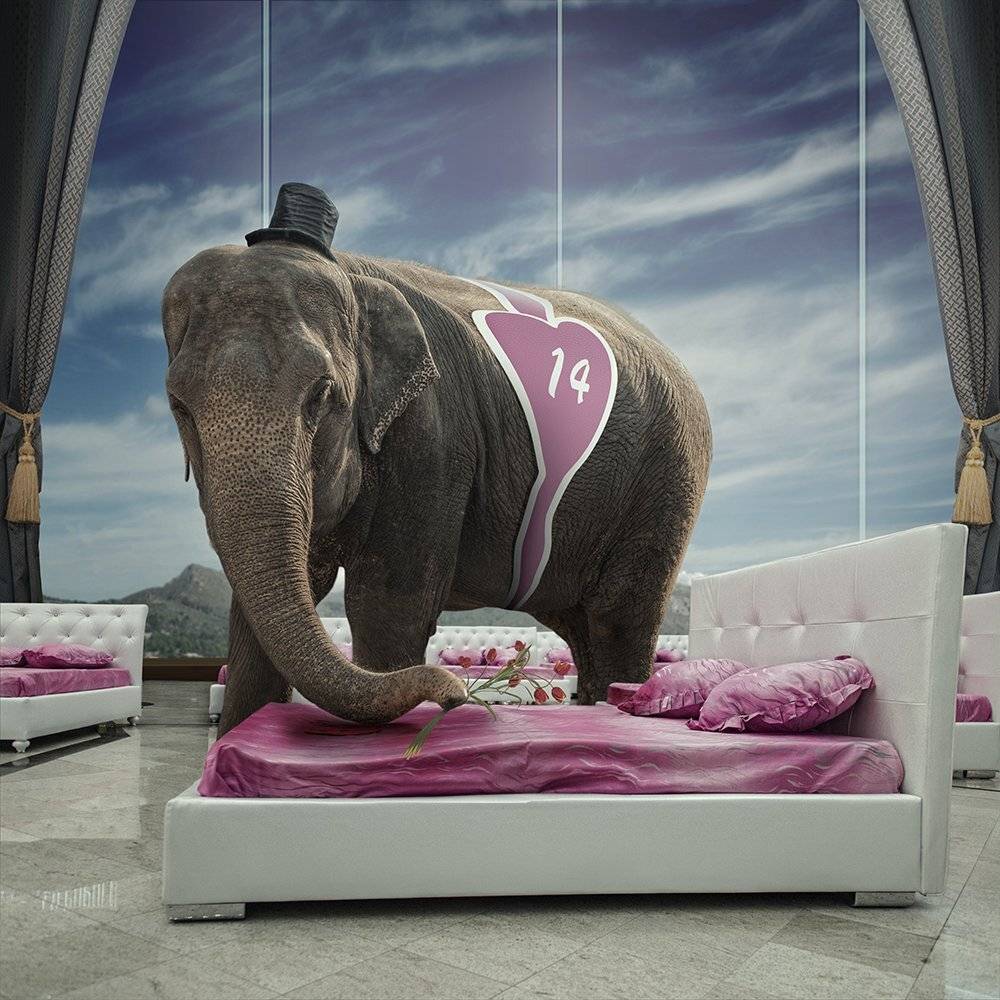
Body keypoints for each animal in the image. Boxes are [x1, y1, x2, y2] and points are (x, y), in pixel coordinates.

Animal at [162, 183, 711, 735]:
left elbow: (386, 605)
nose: (458, 694)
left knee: (618, 622)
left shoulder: (434, 436)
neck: (351, 273)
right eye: (177, 405)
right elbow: (257, 619)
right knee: (584, 630)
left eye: (320, 395)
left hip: (664, 487)